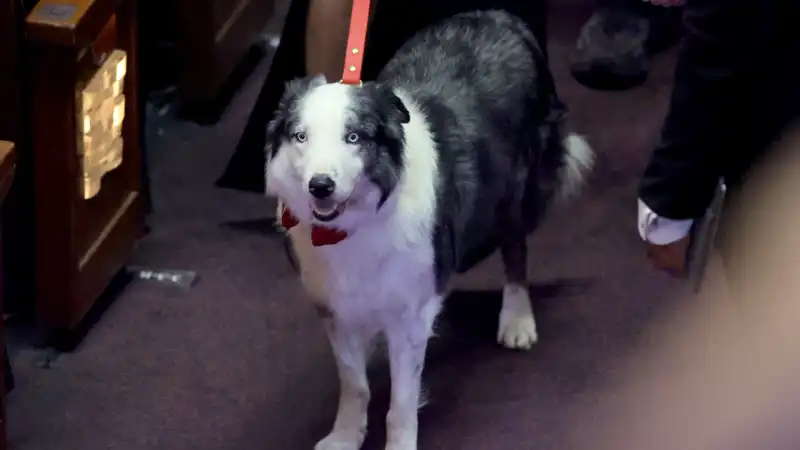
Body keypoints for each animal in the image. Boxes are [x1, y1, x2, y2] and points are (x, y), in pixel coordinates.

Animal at [266, 10, 592, 450]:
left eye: (354, 137)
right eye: (301, 136)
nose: (321, 186)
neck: (358, 223)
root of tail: (500, 16)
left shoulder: (408, 316)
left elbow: (401, 402)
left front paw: (399, 444)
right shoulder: (337, 309)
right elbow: (355, 385)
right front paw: (345, 437)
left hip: (515, 187)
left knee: (515, 249)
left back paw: (517, 319)